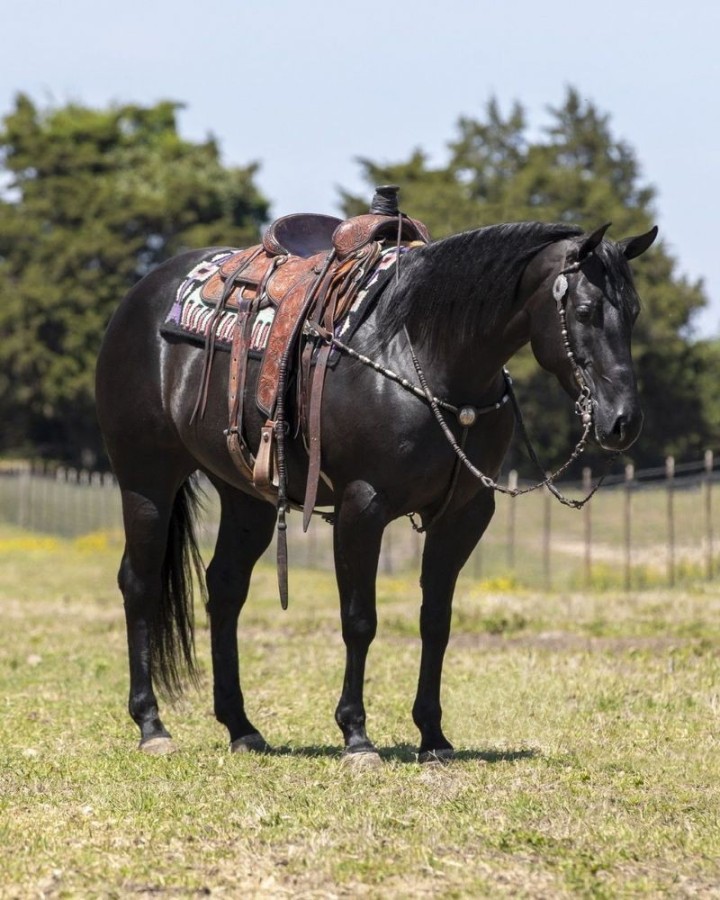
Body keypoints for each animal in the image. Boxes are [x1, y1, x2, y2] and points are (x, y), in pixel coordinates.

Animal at [95, 211, 657, 763]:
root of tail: (142, 293)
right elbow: (360, 618)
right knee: (139, 584)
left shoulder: (464, 515)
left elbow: (436, 620)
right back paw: (152, 726)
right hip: (146, 480)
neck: (426, 352)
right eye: (584, 311)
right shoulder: (361, 507)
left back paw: (242, 727)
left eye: (632, 313)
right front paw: (357, 736)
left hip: (245, 498)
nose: (623, 422)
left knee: (226, 588)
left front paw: (433, 735)